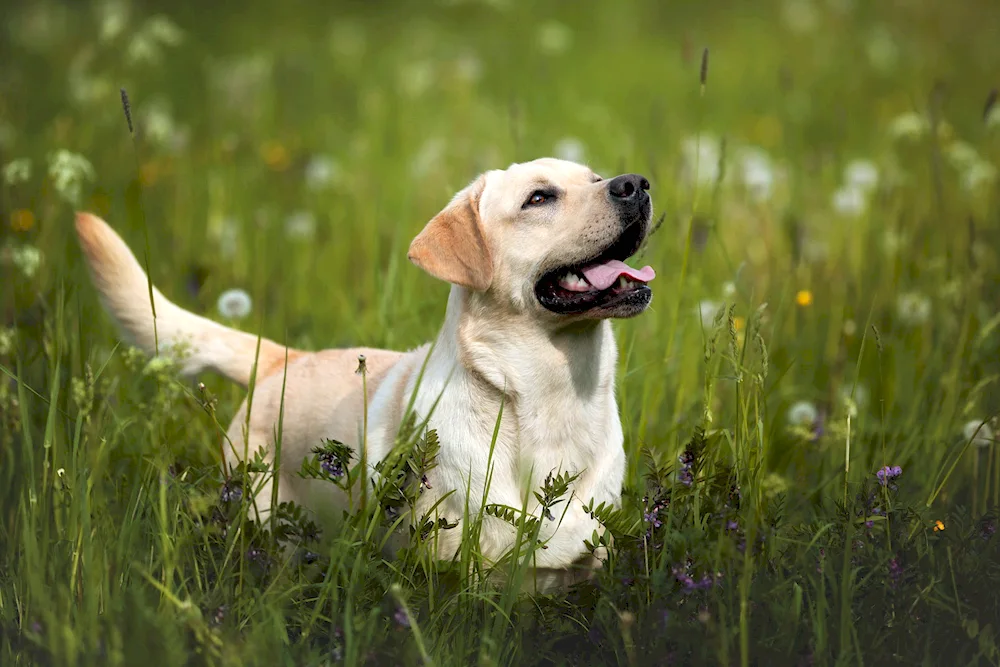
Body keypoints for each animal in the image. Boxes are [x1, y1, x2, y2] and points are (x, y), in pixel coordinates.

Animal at [78, 157, 656, 588]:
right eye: (539, 198)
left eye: (595, 176)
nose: (637, 183)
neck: (551, 396)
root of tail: (286, 359)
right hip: (265, 525)